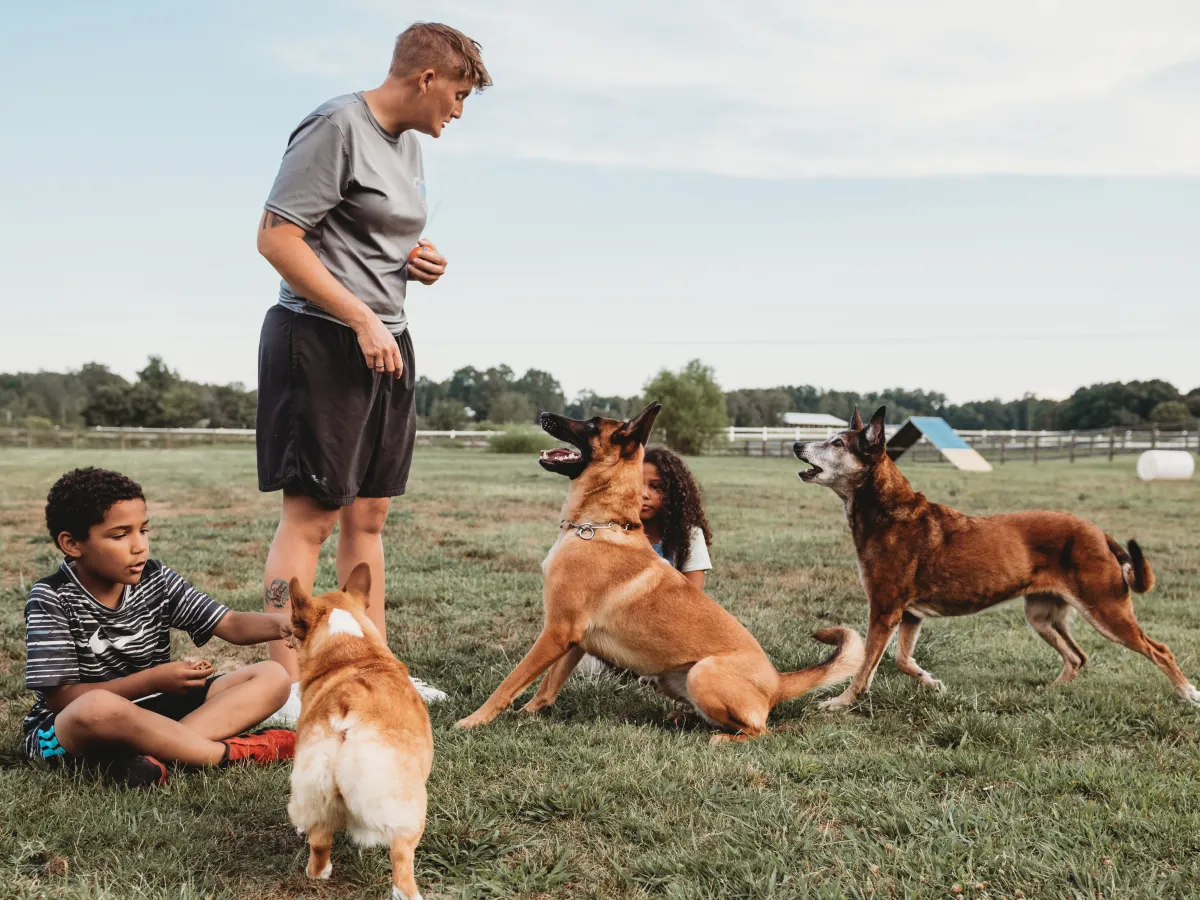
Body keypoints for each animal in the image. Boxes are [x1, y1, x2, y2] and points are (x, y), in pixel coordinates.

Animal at [286, 563, 433, 900]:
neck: (354, 653)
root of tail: (348, 706)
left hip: (316, 785)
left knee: (319, 842)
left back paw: (319, 872)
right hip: (408, 810)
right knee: (402, 862)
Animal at [455, 402, 864, 743]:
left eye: (591, 423)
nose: (543, 414)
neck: (599, 524)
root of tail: (777, 682)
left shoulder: (557, 631)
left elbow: (511, 681)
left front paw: (474, 720)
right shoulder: (574, 639)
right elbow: (546, 685)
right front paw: (529, 713)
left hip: (703, 673)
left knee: (759, 730)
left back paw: (722, 738)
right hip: (674, 680)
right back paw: (684, 719)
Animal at [794, 406, 1199, 710]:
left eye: (837, 443)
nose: (797, 443)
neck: (888, 511)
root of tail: (1098, 532)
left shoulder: (884, 610)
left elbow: (865, 667)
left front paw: (841, 702)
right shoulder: (908, 615)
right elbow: (902, 659)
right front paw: (931, 682)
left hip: (1107, 610)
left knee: (1160, 650)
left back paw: (1187, 693)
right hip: (1042, 615)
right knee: (1078, 656)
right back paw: (1052, 692)